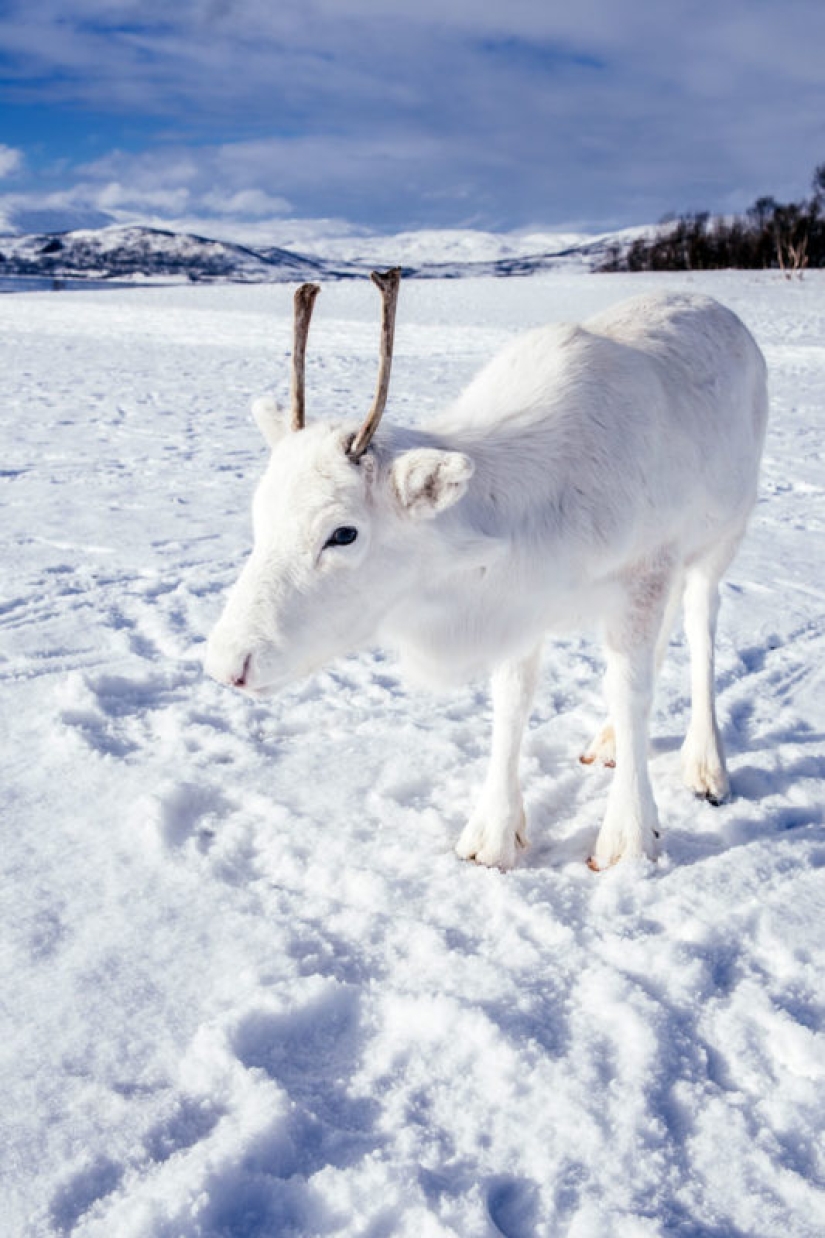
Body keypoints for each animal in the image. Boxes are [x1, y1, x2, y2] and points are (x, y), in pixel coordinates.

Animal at [205, 270, 768, 871]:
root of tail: (724, 311)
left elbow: (630, 691)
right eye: (259, 513)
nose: (227, 664)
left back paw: (706, 765)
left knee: (701, 626)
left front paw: (629, 839)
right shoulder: (522, 605)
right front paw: (494, 834)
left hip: (721, 539)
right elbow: (512, 702)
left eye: (343, 533)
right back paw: (610, 741)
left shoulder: (643, 571)